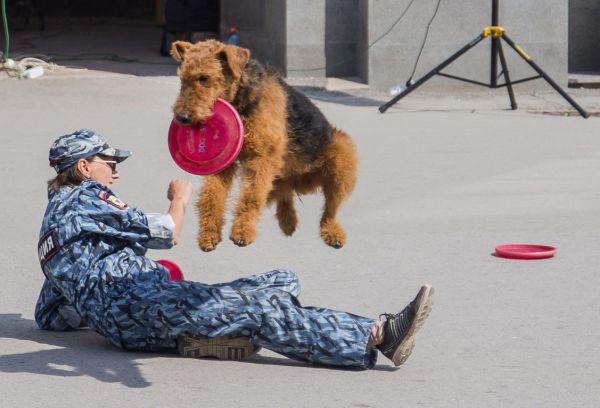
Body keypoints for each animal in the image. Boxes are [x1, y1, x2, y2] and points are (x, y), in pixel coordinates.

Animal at [170, 40, 356, 252]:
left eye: (204, 78)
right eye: (182, 79)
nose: (182, 118)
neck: (241, 100)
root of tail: (302, 181)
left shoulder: (261, 158)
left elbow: (251, 197)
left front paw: (242, 232)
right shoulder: (224, 162)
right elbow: (211, 195)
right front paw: (209, 235)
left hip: (341, 158)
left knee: (330, 209)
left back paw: (332, 233)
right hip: (283, 176)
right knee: (285, 193)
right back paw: (288, 222)